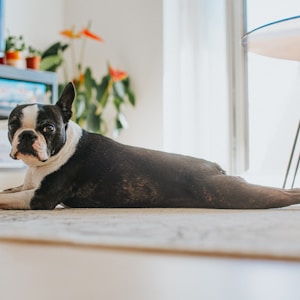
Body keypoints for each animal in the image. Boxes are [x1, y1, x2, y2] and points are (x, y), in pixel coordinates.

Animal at [0, 81, 300, 210]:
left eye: (48, 128)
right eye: (13, 125)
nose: (26, 136)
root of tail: (214, 166)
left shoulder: (41, 198)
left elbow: (5, 198)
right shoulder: (27, 187)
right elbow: (6, 189)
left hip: (229, 193)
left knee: (278, 195)